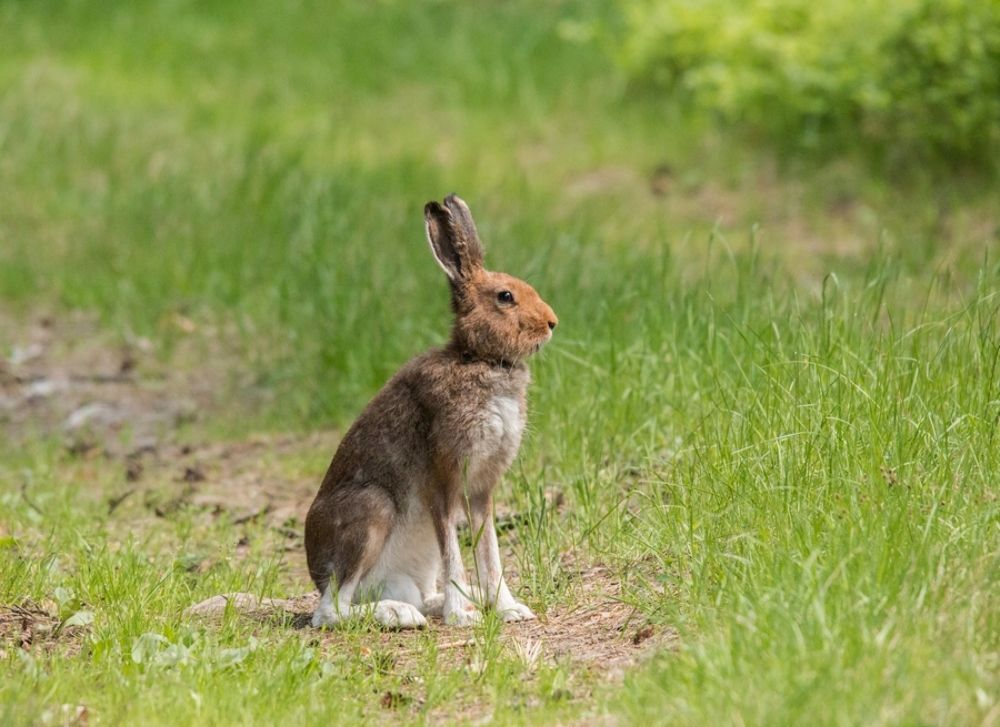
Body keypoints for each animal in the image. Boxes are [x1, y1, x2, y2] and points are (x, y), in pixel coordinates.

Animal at [304, 194, 557, 629]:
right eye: (505, 296)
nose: (552, 323)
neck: (478, 358)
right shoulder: (444, 478)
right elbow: (455, 552)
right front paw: (463, 619)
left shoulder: (481, 490)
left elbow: (490, 553)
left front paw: (510, 609)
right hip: (371, 511)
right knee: (331, 611)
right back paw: (401, 614)